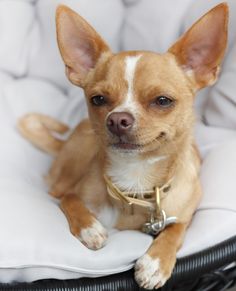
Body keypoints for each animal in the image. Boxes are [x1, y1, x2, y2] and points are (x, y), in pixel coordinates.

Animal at [18, 3, 229, 290]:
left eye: (163, 100)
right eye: (98, 99)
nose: (117, 119)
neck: (135, 176)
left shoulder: (186, 211)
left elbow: (176, 228)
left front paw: (155, 263)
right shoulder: (73, 193)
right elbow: (71, 200)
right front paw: (90, 228)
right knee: (58, 190)